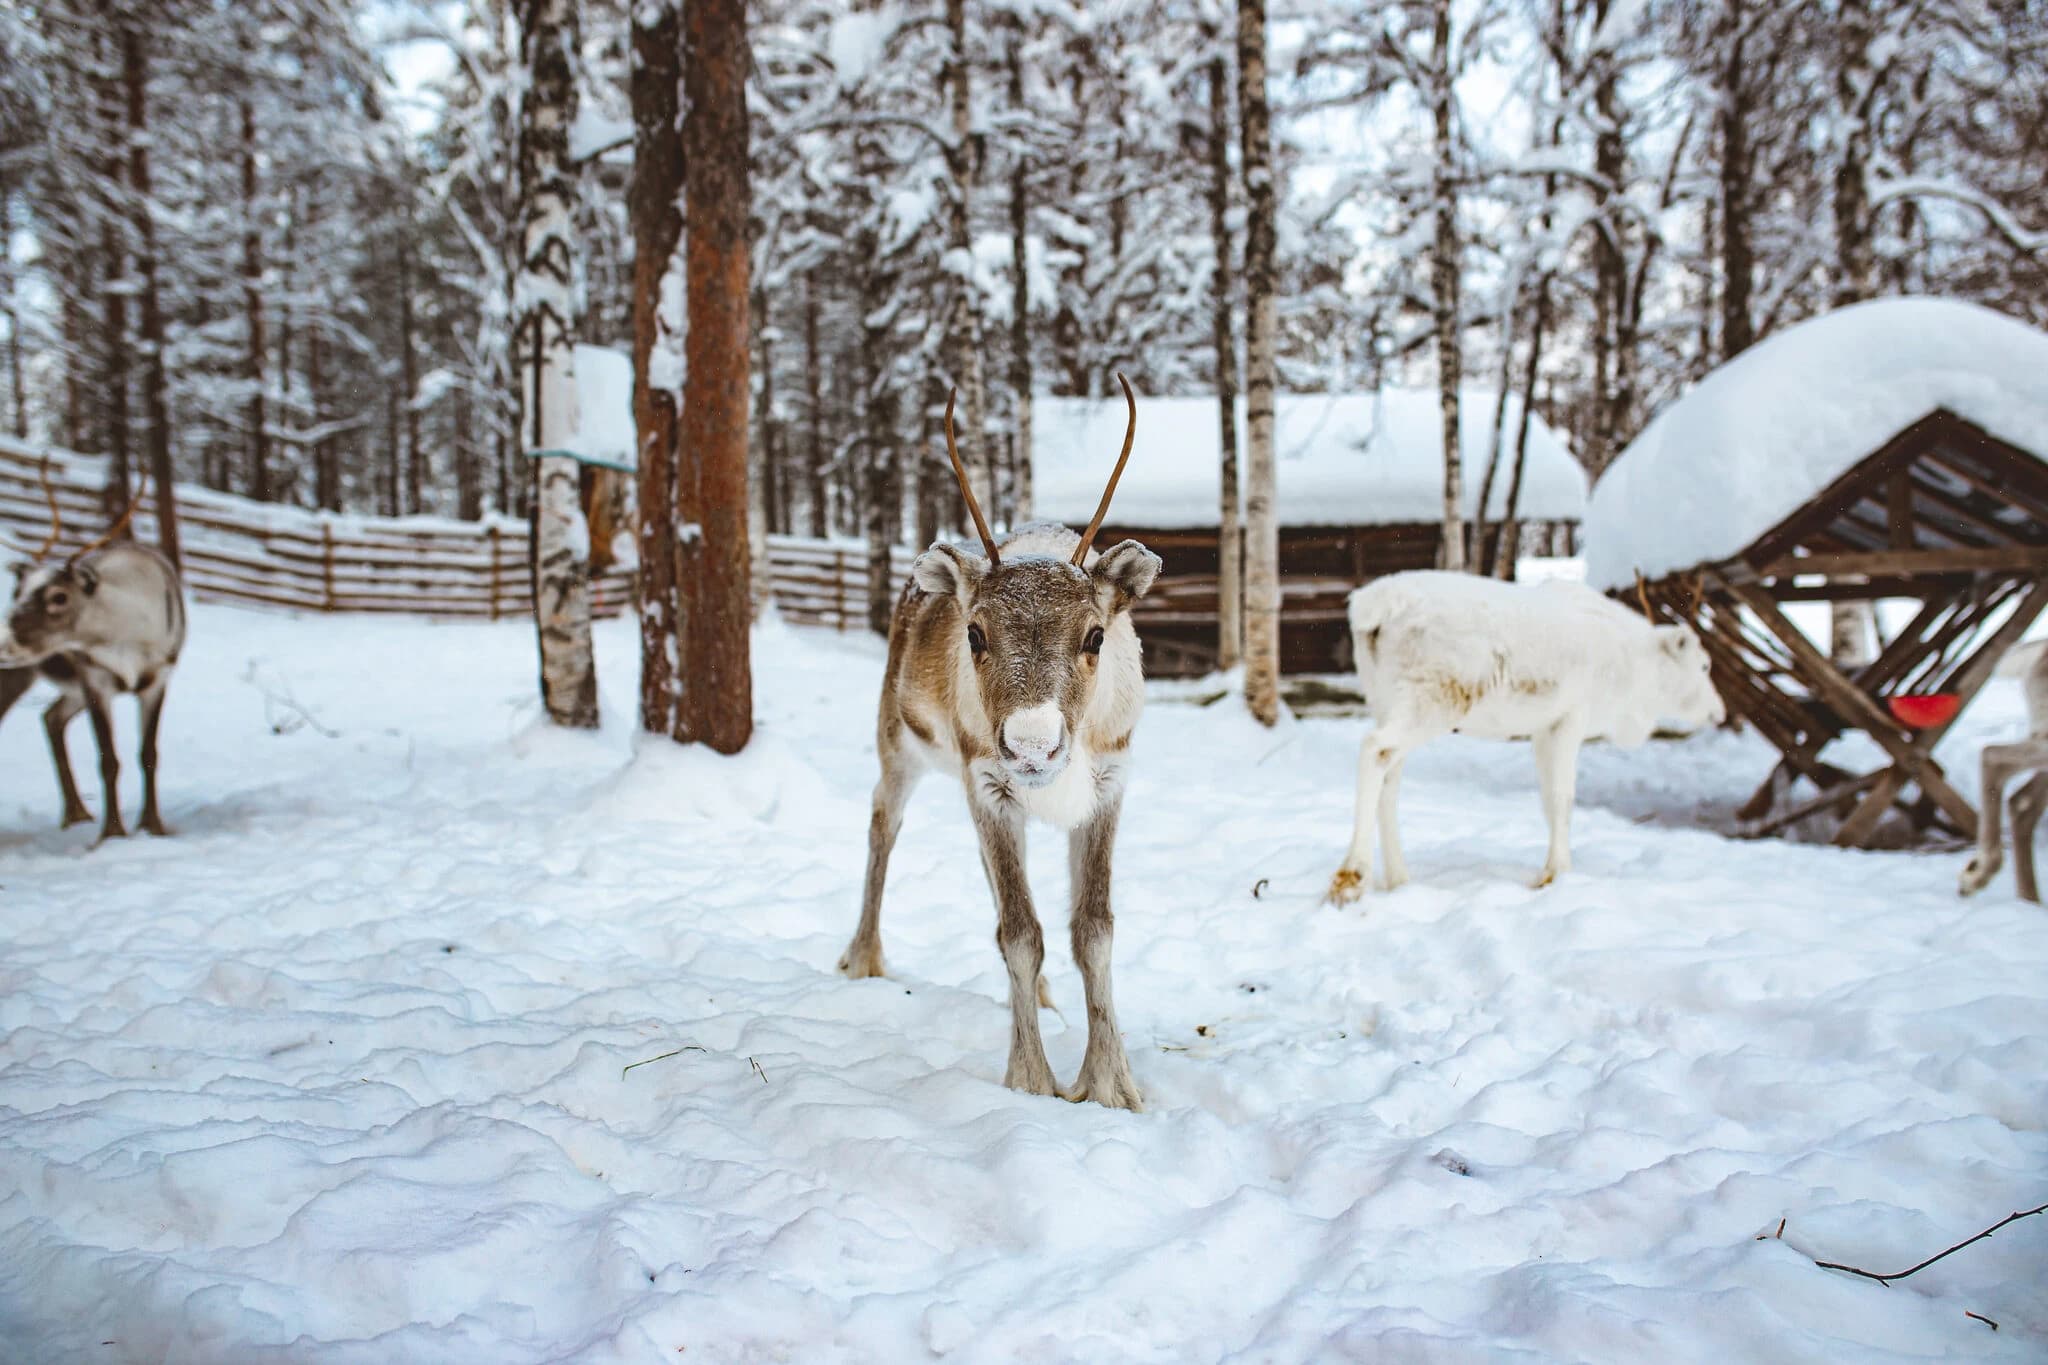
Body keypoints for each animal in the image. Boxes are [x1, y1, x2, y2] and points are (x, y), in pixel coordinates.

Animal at [0, 460, 186, 843]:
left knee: (51, 718)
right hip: (27, 676)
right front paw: (112, 833)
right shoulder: (95, 678)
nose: (4, 640)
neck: (126, 634)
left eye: (59, 595)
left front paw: (152, 825)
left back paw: (75, 813)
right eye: (17, 591)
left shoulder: (157, 677)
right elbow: (108, 759)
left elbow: (148, 753)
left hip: (69, 691)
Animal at [837, 375, 1162, 1111]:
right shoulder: (988, 782)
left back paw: (1040, 998)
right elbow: (1020, 931)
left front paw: (1111, 1084)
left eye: (1095, 633)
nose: (1033, 748)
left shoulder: (1110, 782)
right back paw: (862, 957)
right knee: (881, 823)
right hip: (899, 745)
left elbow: (1092, 929)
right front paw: (1032, 1081)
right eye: (976, 632)